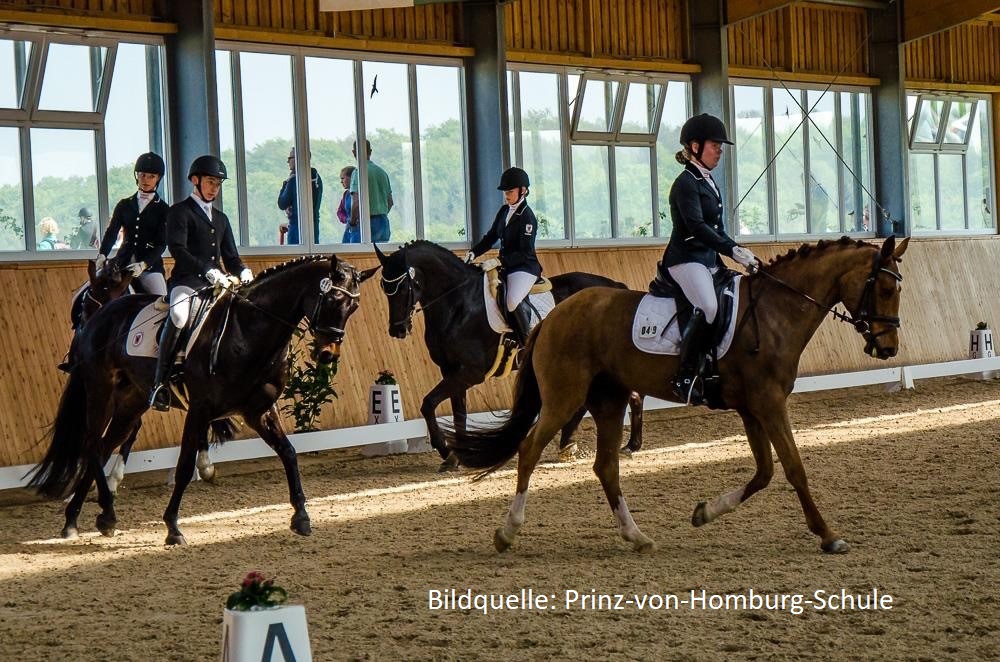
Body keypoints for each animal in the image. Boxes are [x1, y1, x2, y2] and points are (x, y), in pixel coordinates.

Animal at [31, 254, 376, 544]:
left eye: (353, 308)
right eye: (331, 299)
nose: (328, 354)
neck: (248, 331)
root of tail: (99, 317)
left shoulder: (260, 411)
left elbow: (289, 453)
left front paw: (301, 516)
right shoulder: (199, 409)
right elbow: (184, 466)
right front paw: (173, 527)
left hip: (131, 402)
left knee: (103, 447)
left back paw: (85, 518)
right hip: (100, 390)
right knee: (91, 444)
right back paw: (102, 514)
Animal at [372, 241, 644, 474]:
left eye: (404, 286)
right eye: (385, 289)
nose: (398, 330)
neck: (459, 303)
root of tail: (616, 286)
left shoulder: (471, 372)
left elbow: (428, 403)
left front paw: (444, 450)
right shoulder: (451, 371)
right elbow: (459, 413)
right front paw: (455, 457)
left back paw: (619, 445)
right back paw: (592, 444)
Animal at [444, 237, 908, 556]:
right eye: (885, 290)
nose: (888, 349)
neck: (775, 312)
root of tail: (556, 314)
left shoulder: (752, 409)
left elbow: (764, 473)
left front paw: (705, 512)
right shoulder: (769, 404)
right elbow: (793, 468)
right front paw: (828, 536)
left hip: (608, 400)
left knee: (605, 467)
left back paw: (636, 536)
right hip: (564, 397)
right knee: (529, 450)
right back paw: (507, 532)